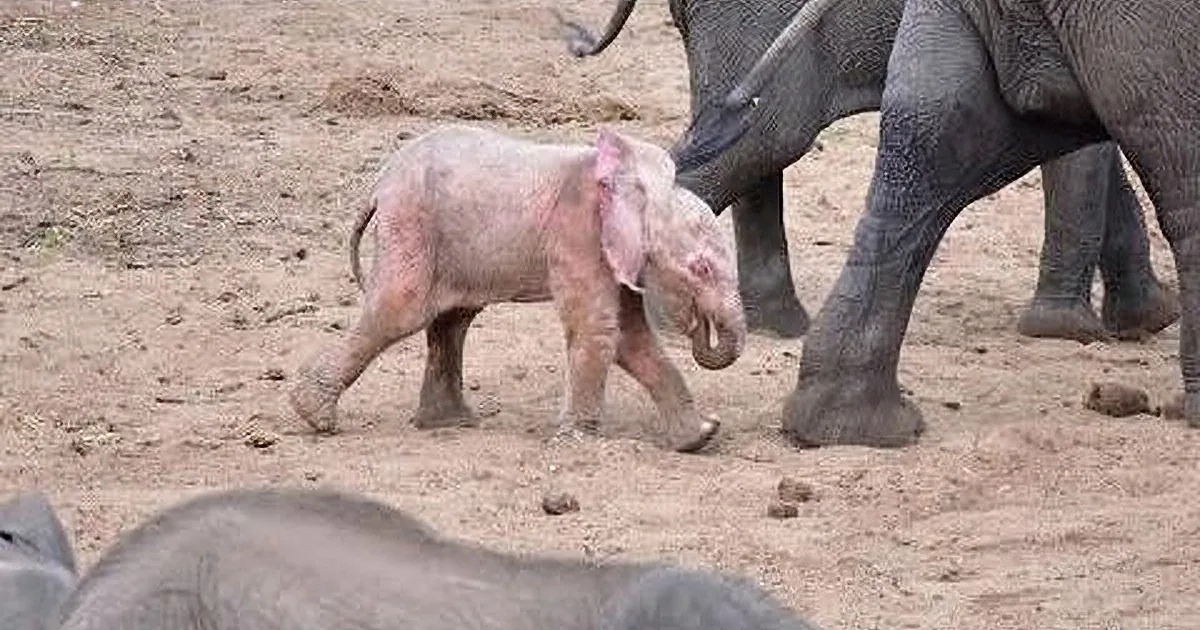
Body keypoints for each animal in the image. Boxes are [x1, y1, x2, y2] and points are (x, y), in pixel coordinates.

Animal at [289, 124, 745, 453]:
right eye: (701, 268)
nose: (700, 326)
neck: (637, 186)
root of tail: (378, 185)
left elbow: (632, 337)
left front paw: (700, 437)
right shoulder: (577, 233)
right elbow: (599, 329)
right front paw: (576, 444)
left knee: (451, 321)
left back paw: (450, 423)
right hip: (412, 226)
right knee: (400, 309)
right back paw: (314, 417)